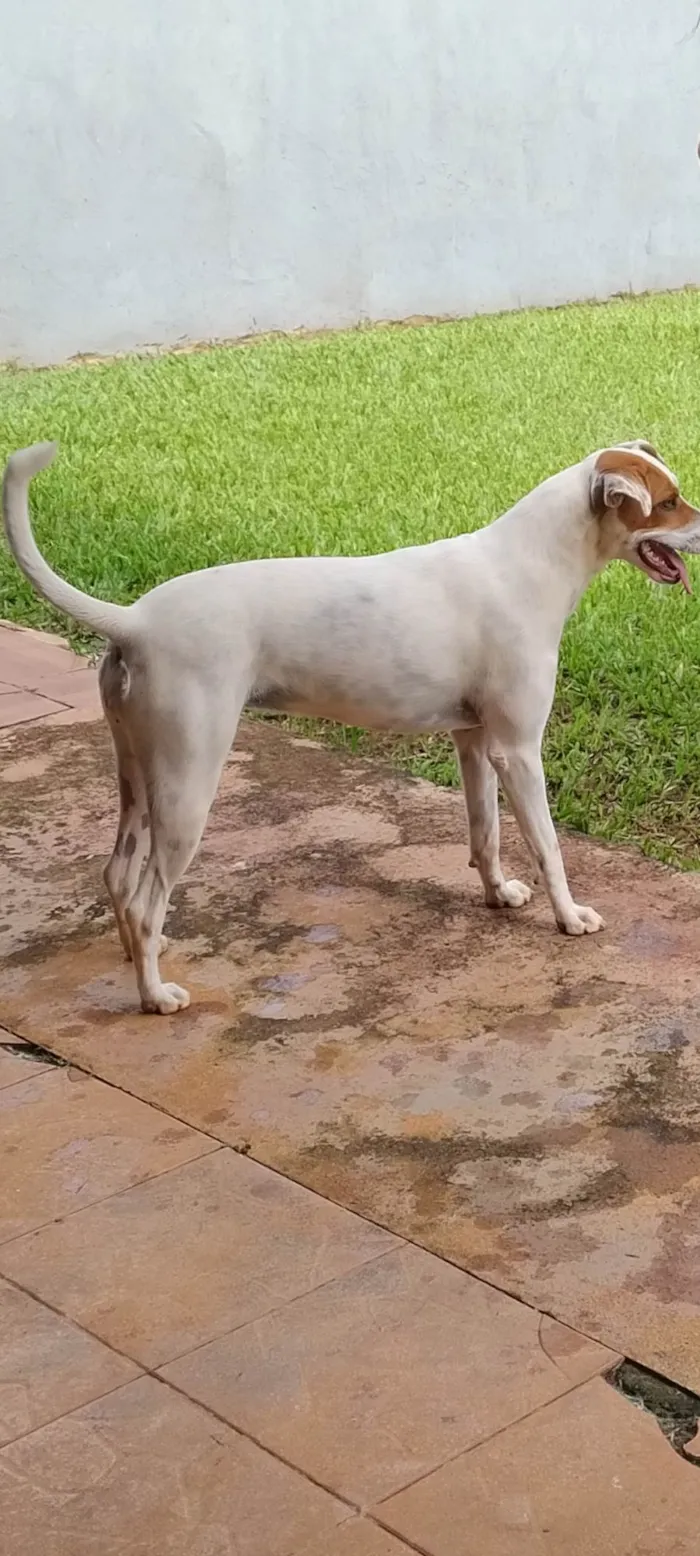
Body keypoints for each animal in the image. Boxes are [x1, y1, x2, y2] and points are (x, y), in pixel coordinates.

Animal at [5, 445, 700, 1014]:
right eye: (667, 503)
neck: (528, 563)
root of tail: (135, 621)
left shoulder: (475, 742)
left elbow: (487, 833)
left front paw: (498, 893)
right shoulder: (519, 751)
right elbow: (549, 845)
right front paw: (570, 916)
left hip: (137, 774)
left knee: (120, 878)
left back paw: (134, 960)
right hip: (187, 784)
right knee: (147, 900)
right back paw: (154, 995)